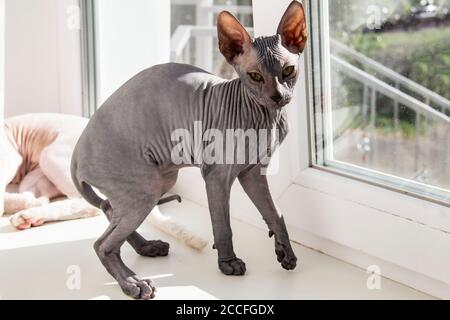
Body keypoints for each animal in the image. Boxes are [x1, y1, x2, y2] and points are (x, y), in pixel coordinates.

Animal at [71, 0, 310, 300]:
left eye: (288, 71)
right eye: (255, 76)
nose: (278, 97)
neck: (266, 118)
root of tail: (76, 154)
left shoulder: (253, 172)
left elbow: (275, 213)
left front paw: (285, 252)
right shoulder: (217, 176)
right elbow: (223, 225)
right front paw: (228, 263)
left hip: (159, 179)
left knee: (110, 210)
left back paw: (147, 247)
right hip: (145, 184)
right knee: (102, 244)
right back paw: (133, 283)